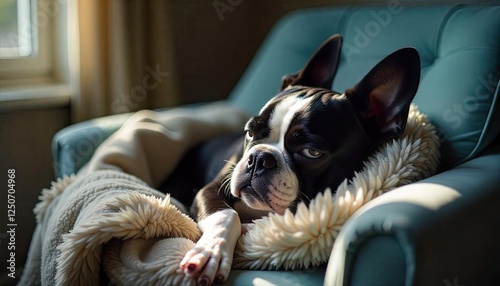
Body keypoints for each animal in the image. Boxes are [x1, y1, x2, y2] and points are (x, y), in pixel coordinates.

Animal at [166, 34, 420, 284]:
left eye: (312, 152)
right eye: (250, 132)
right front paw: (211, 251)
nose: (259, 158)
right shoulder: (212, 188)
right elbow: (227, 214)